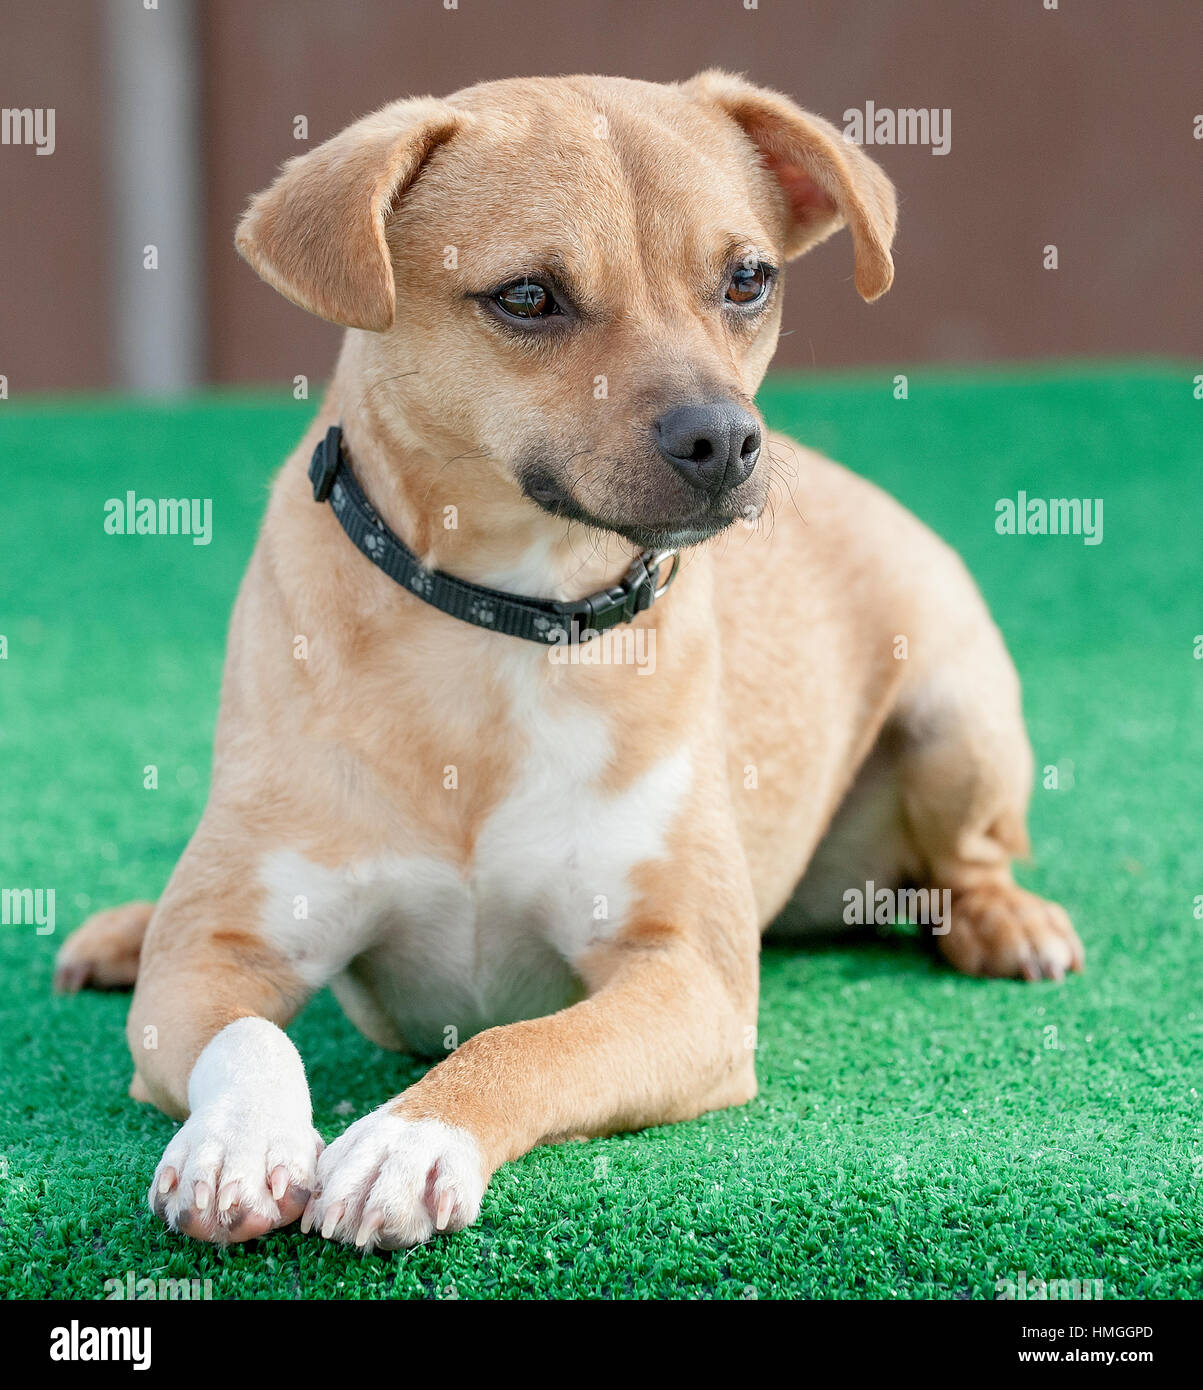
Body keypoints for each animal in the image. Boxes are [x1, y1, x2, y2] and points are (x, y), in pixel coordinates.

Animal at [56, 70, 1084, 1256]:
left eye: (747, 280)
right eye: (527, 297)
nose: (727, 442)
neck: (505, 620)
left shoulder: (683, 976)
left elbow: (522, 1042)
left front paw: (410, 1137)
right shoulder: (210, 960)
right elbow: (251, 1037)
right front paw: (239, 1140)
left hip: (958, 716)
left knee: (968, 855)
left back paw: (1006, 919)